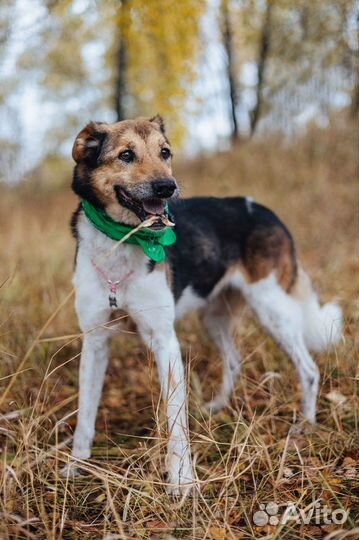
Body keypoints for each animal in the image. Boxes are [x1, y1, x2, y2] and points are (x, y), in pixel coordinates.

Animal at [67, 115, 344, 494]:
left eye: (165, 152)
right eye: (126, 155)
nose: (167, 188)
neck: (122, 242)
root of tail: (266, 211)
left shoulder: (164, 342)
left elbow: (175, 421)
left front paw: (181, 481)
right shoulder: (94, 341)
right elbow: (85, 411)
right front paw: (76, 464)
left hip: (273, 310)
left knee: (309, 369)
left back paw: (306, 426)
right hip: (214, 318)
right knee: (234, 361)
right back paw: (218, 407)